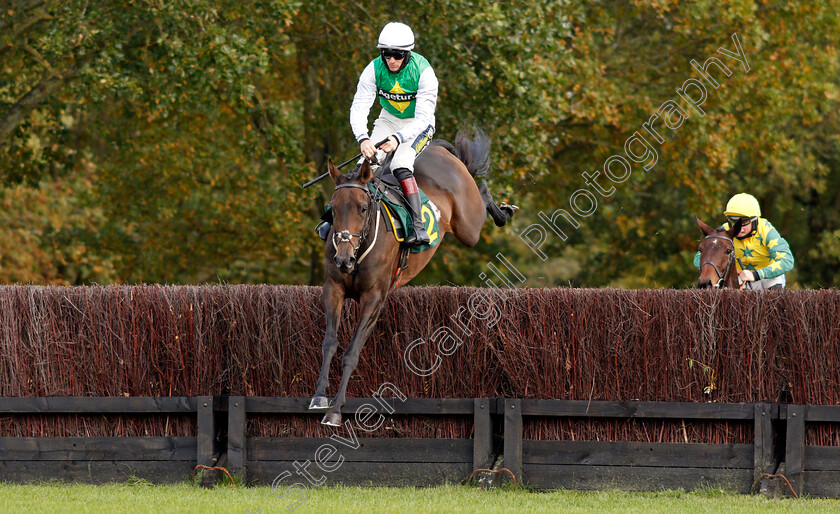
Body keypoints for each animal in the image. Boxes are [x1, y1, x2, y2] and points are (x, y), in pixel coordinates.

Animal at [312, 129, 516, 424]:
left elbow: (352, 353)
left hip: (469, 226)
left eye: (363, 208)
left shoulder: (374, 298)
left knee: (481, 194)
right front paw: (319, 397)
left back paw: (503, 209)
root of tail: (437, 149)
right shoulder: (334, 289)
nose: (343, 259)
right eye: (334, 208)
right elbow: (329, 342)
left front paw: (336, 409)